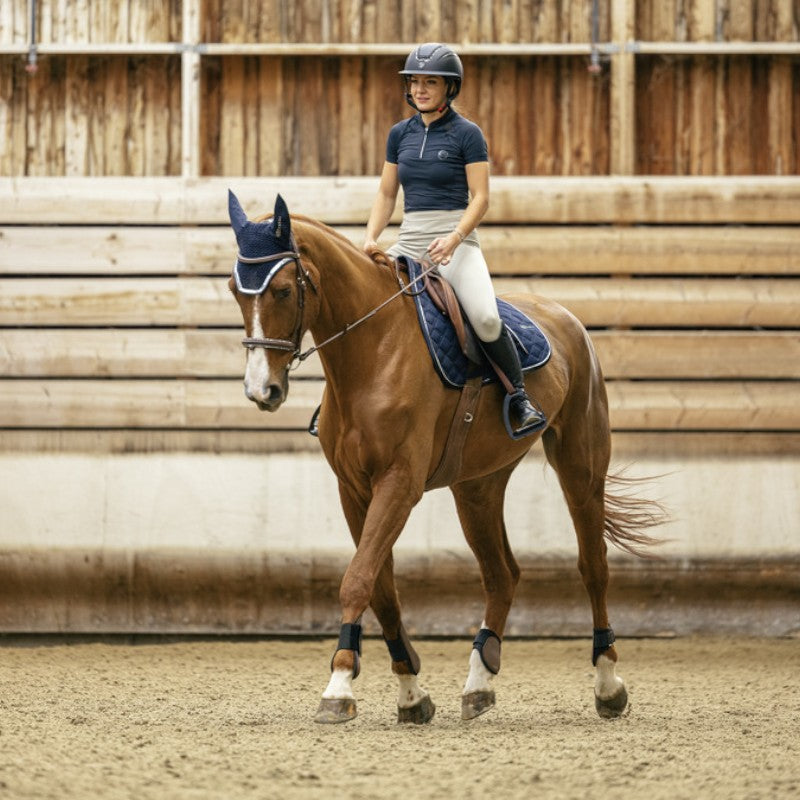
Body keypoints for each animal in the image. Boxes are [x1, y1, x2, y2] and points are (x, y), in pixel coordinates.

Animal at [227, 192, 664, 724]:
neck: (372, 351)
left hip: (580, 463)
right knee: (501, 574)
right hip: (477, 486)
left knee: (593, 565)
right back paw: (479, 681)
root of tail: (563, 315)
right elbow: (380, 589)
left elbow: (358, 579)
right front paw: (410, 693)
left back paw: (607, 684)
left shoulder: (399, 483)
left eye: (285, 290)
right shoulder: (354, 490)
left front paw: (339, 686)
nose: (261, 391)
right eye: (234, 289)